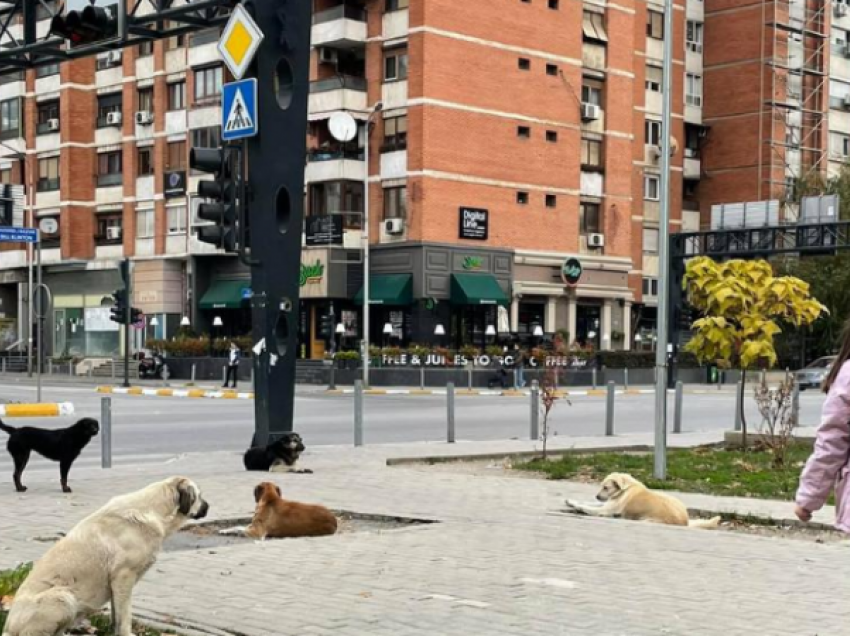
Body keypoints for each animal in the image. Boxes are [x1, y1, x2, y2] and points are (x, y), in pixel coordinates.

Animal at [568, 470, 720, 528]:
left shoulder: (605, 509)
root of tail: (686, 521)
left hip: (648, 520)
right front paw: (571, 501)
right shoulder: (607, 504)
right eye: (601, 486)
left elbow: (588, 507)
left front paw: (577, 506)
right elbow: (587, 502)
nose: (597, 496)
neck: (626, 488)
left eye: (605, 487)